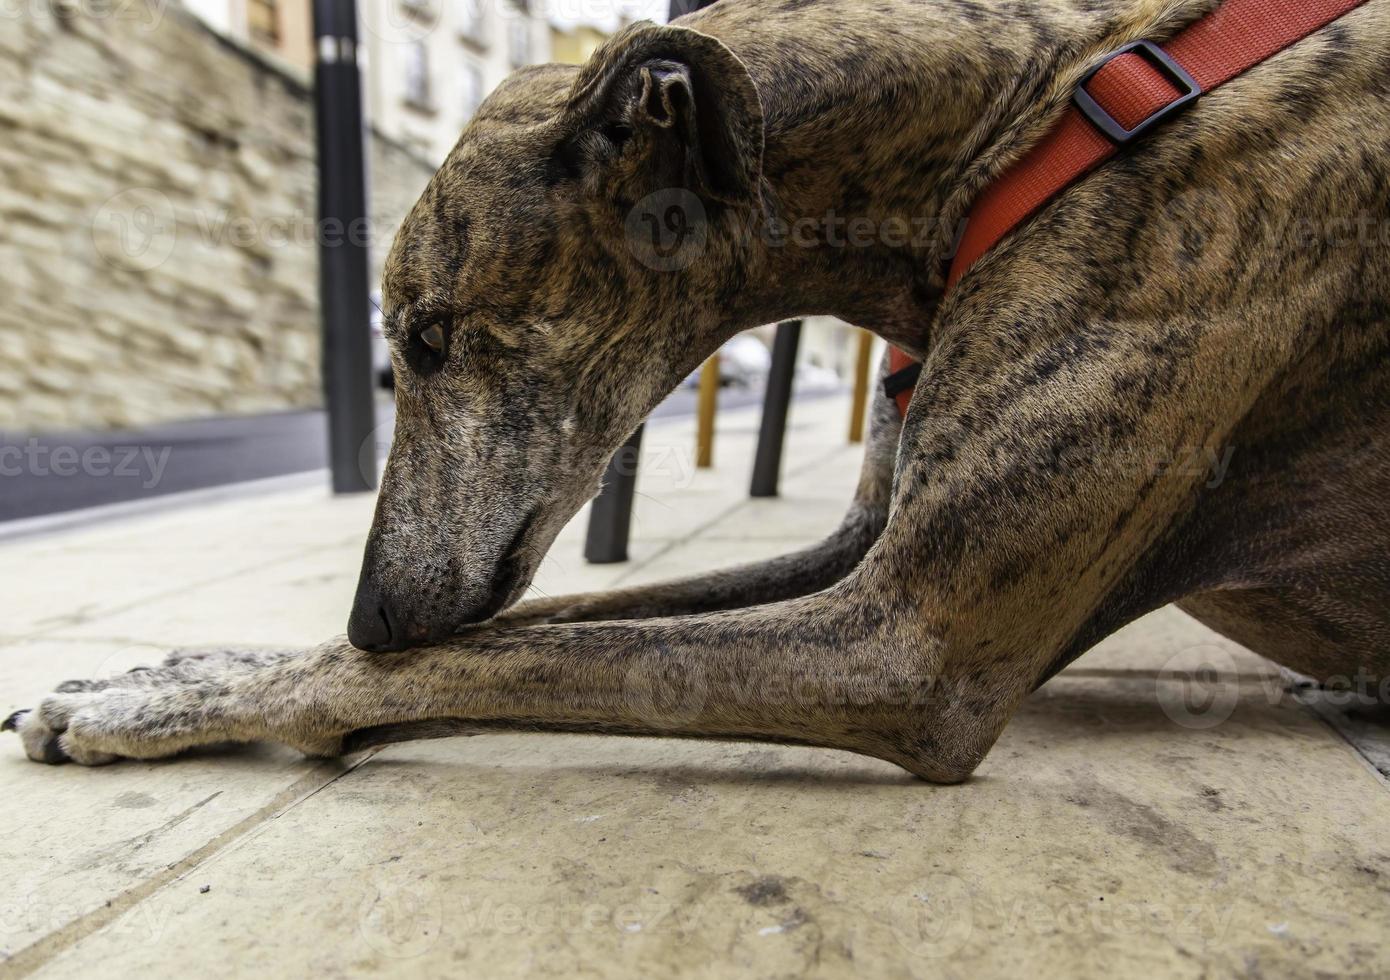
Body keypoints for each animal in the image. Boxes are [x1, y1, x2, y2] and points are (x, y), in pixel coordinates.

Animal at [5, 0, 1384, 778]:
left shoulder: (906, 641)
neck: (1028, 124)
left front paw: (167, 697)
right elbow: (532, 623)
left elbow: (456, 666)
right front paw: (176, 669)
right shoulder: (850, 552)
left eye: (433, 338)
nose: (374, 609)